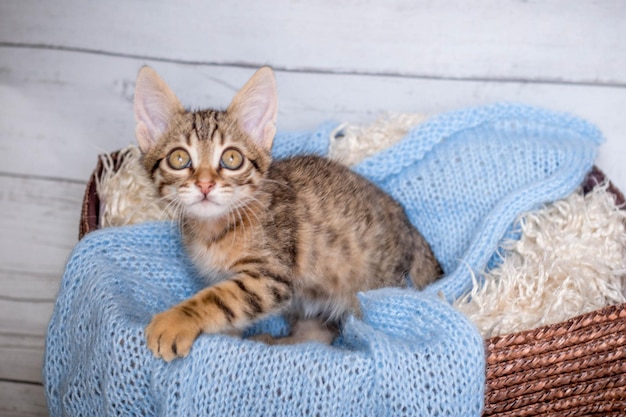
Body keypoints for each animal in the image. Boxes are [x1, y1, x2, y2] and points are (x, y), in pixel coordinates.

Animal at [136, 66, 438, 360]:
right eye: (179, 158)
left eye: (232, 158)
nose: (205, 184)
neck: (215, 228)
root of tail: (407, 224)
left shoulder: (269, 277)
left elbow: (219, 299)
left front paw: (176, 321)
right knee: (317, 334)